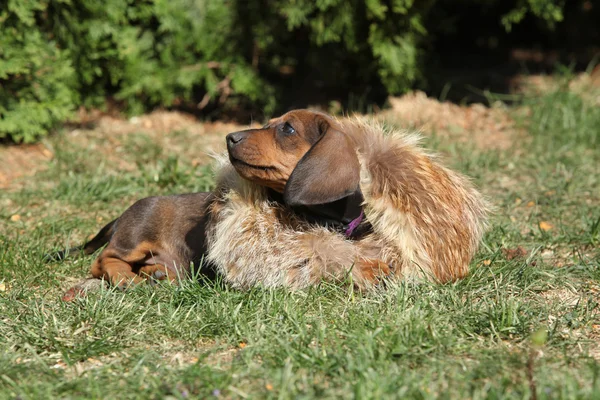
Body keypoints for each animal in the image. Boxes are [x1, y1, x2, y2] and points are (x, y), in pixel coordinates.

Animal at [54, 109, 490, 296]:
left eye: (287, 129)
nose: (229, 136)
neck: (328, 219)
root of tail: (120, 219)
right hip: (136, 233)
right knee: (104, 260)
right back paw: (127, 277)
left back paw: (160, 274)